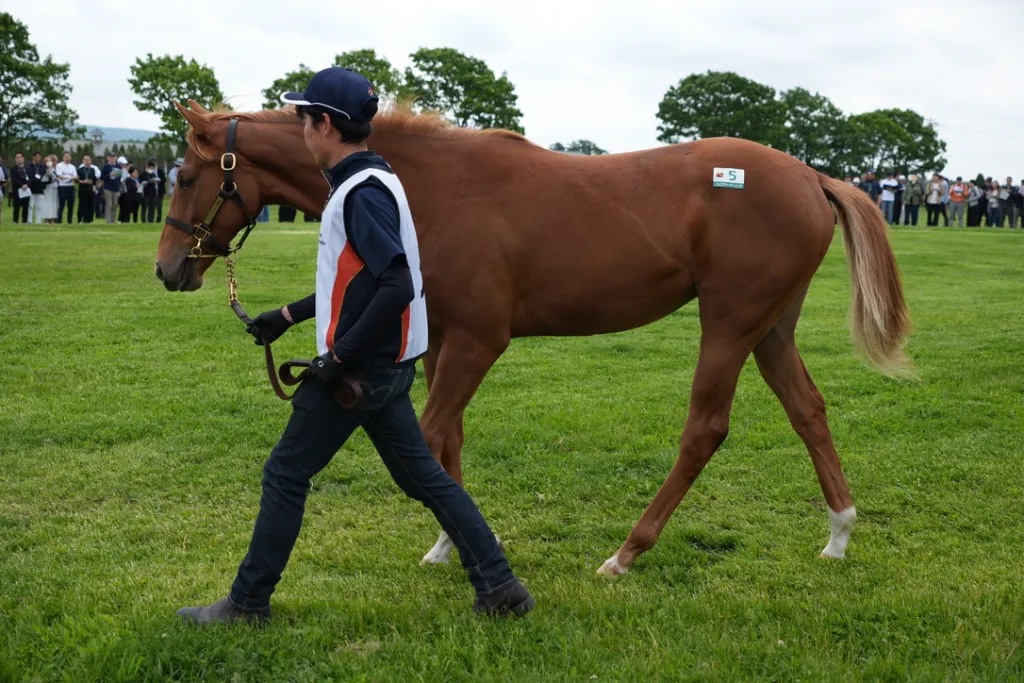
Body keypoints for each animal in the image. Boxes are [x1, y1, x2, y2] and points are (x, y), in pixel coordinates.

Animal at [155, 100, 911, 576]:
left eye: (186, 175)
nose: (167, 269)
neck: (424, 187)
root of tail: (811, 175)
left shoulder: (479, 341)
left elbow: (430, 437)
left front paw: (459, 545)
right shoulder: (443, 340)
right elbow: (446, 441)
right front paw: (449, 542)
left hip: (728, 322)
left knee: (705, 429)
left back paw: (626, 553)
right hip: (769, 327)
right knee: (808, 409)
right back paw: (839, 532)